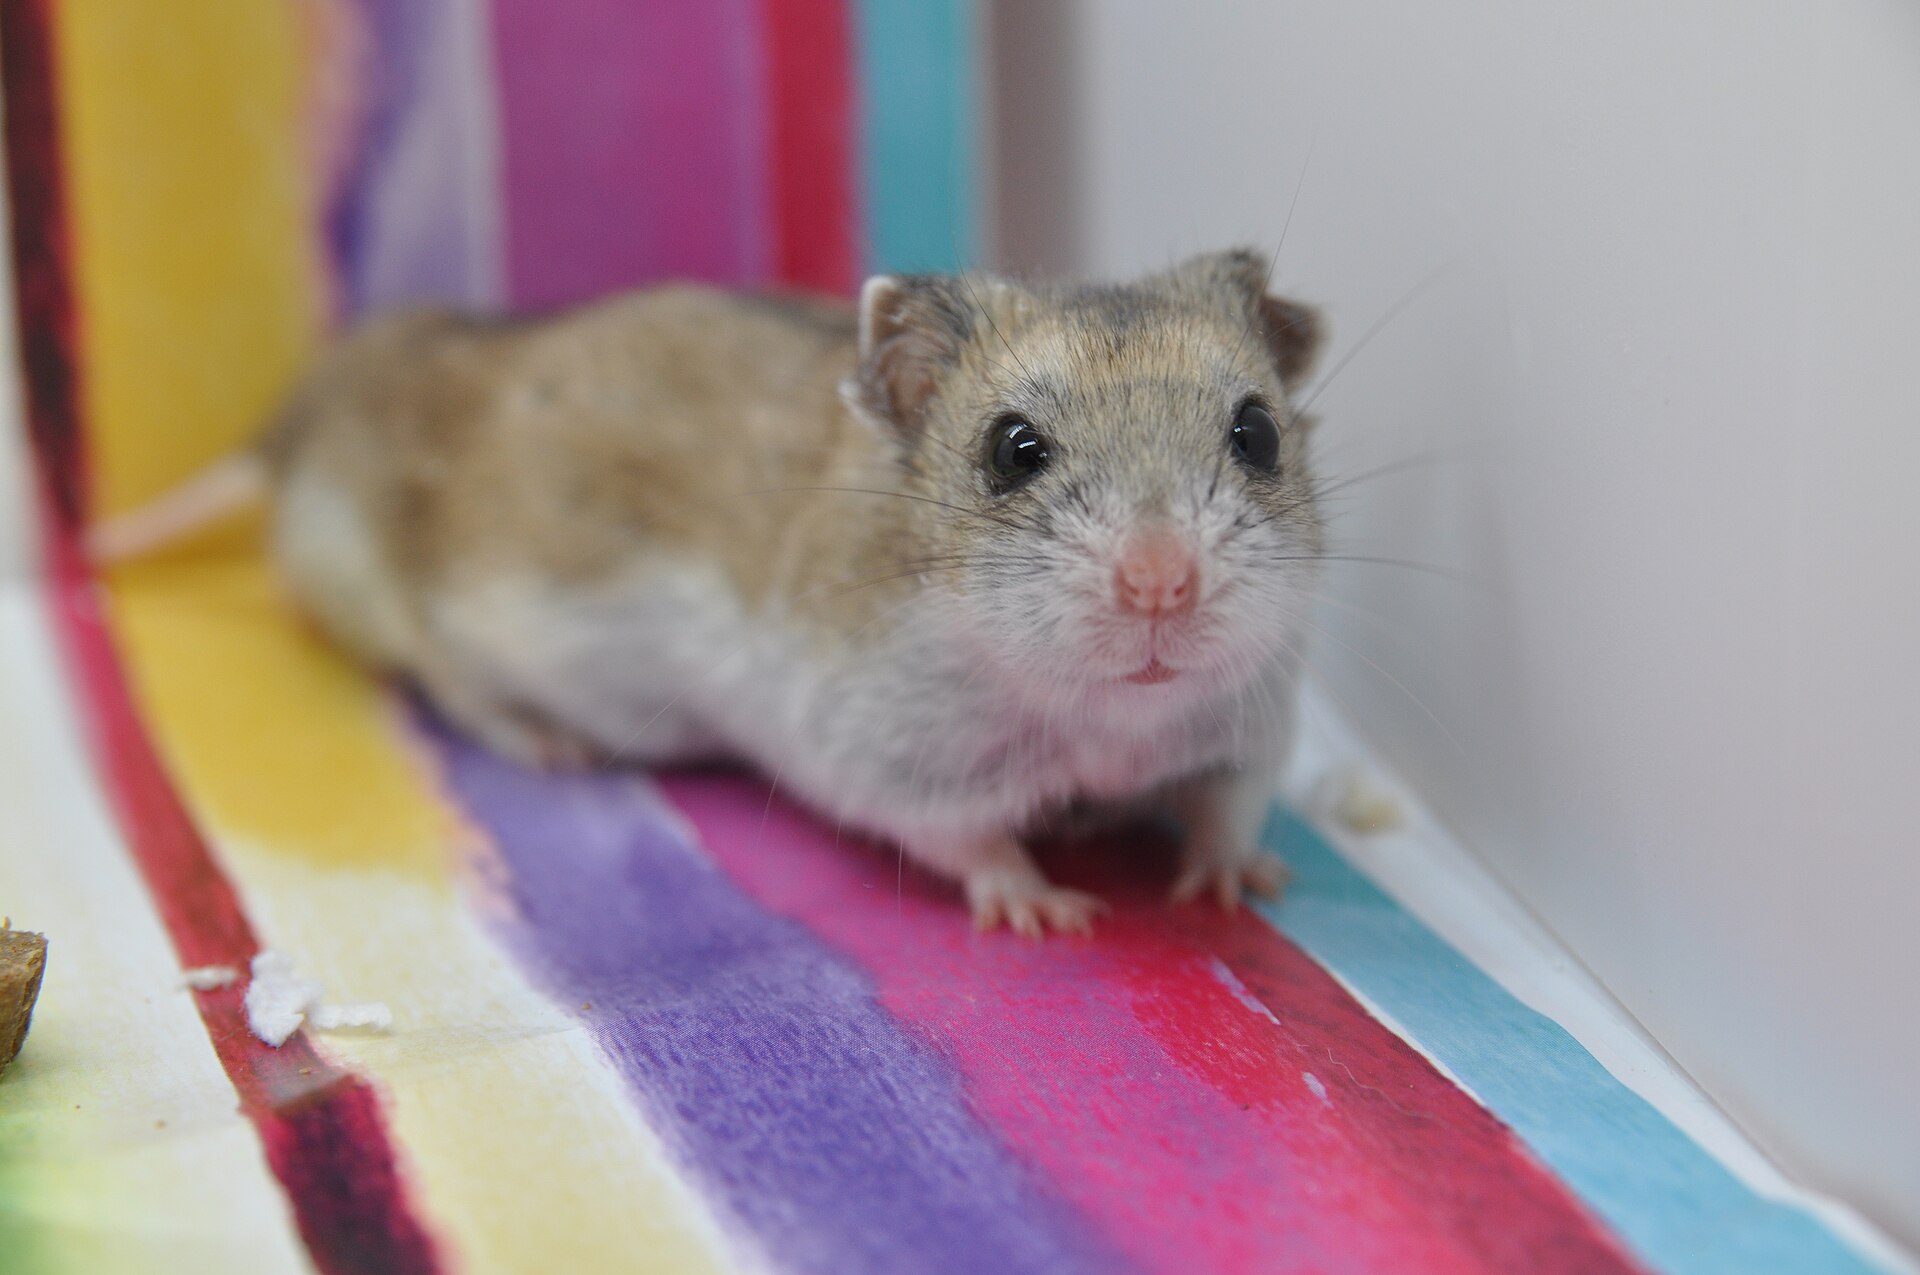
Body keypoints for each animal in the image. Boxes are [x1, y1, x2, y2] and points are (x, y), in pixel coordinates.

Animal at [142, 251, 1328, 936]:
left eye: (1257, 433)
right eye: (1013, 449)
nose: (1162, 582)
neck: (1107, 718)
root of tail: (320, 412)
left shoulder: (1252, 726)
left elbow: (1226, 811)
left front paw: (1240, 883)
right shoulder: (896, 764)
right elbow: (973, 846)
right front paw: (1052, 910)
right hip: (435, 614)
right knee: (450, 680)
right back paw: (553, 747)